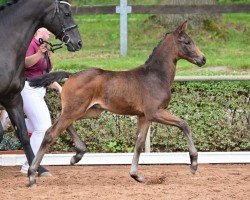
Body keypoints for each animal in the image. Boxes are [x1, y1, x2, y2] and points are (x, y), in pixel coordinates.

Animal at [28, 21, 206, 187]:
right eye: (187, 42)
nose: (203, 59)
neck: (155, 76)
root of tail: (71, 75)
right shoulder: (154, 112)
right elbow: (184, 124)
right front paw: (194, 164)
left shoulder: (144, 117)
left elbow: (139, 144)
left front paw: (136, 176)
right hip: (75, 110)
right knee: (50, 133)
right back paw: (32, 175)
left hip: (88, 111)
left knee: (63, 124)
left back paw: (77, 155)